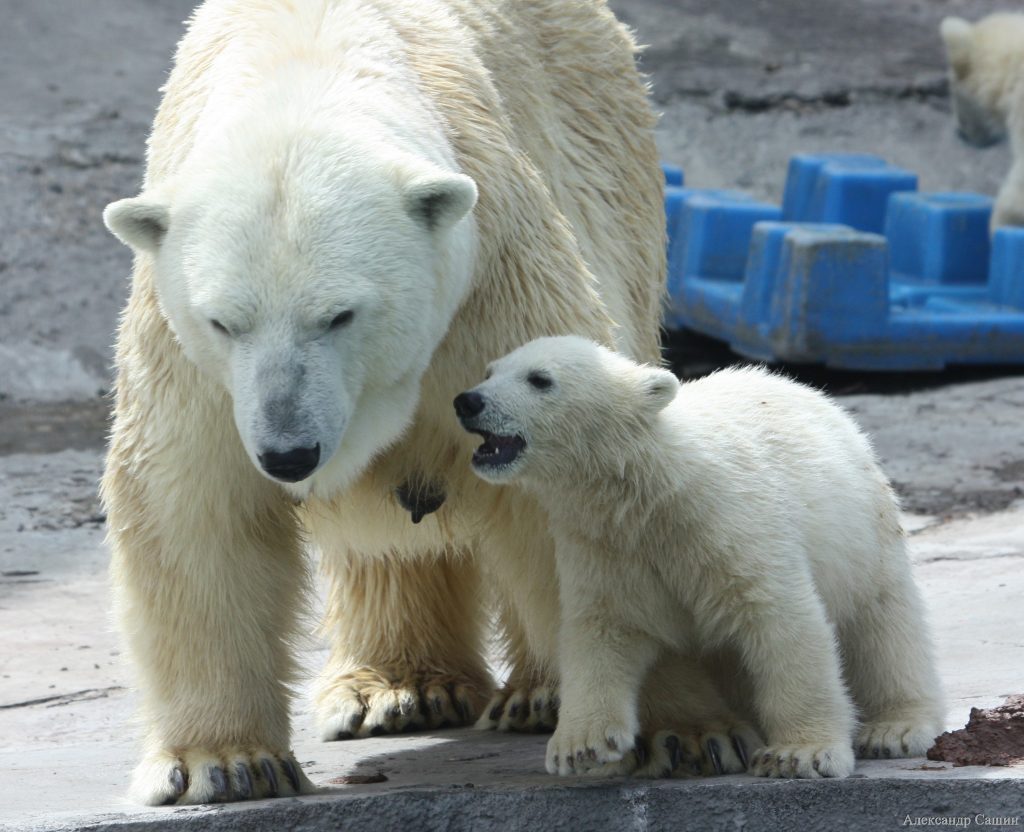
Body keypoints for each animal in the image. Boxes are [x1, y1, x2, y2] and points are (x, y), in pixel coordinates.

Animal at [101, 0, 737, 807]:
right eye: (224, 321)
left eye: (339, 315)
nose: (289, 452)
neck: (303, 53)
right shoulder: (191, 361)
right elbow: (195, 504)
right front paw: (221, 764)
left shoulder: (490, 279)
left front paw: (685, 734)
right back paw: (398, 689)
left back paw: (534, 694)